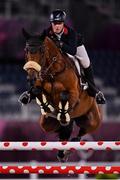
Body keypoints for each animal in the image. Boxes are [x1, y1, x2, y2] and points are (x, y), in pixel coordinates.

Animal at [21, 28, 102, 161]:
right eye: (26, 50)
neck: (53, 72)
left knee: (82, 132)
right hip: (46, 124)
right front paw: (46, 106)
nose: (31, 78)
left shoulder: (74, 95)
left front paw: (62, 113)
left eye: (42, 51)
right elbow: (37, 91)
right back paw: (63, 150)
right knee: (63, 133)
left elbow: (64, 95)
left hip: (93, 120)